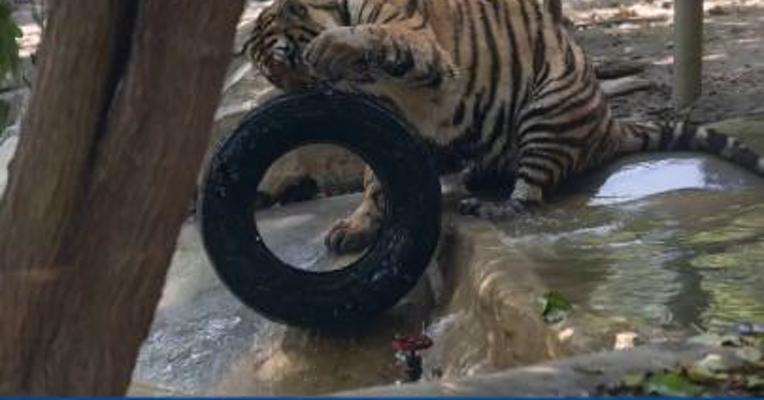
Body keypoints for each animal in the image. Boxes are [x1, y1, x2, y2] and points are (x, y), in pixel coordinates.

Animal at [243, 0, 764, 254]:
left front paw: (334, 44)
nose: (301, 102)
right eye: (274, 78)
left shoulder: (425, 51)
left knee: (530, 197)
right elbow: (377, 179)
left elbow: (377, 38)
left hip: (549, 105)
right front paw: (357, 227)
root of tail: (609, 127)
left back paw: (491, 206)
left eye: (293, 65)